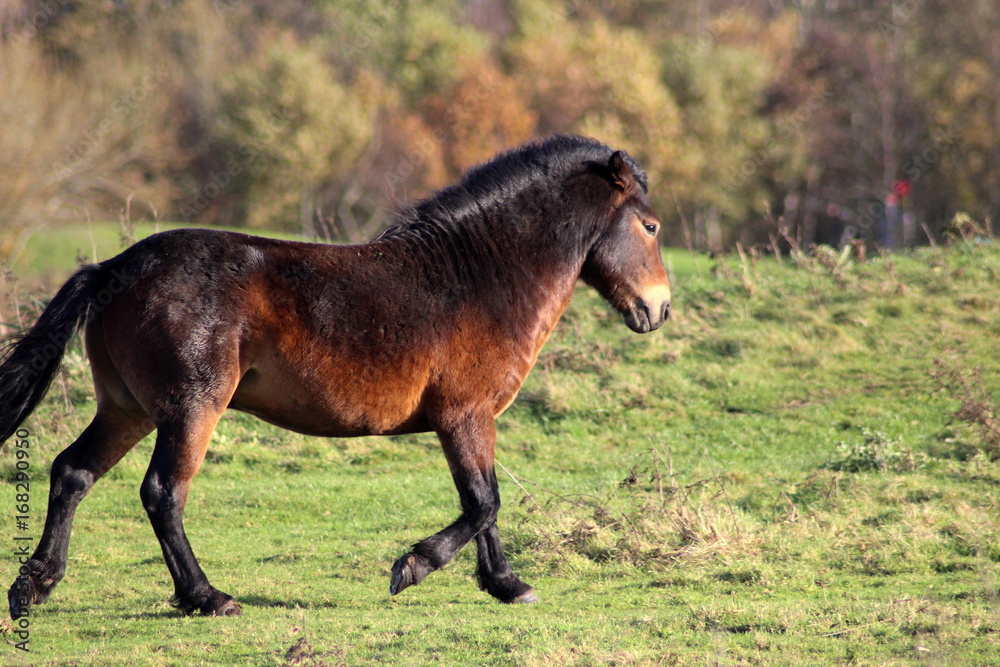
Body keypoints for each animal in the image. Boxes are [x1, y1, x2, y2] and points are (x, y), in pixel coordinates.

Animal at [3, 137, 672, 620]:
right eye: (651, 227)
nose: (659, 309)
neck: (477, 278)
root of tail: (116, 268)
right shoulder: (464, 414)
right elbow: (484, 502)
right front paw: (414, 566)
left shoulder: (470, 419)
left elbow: (483, 502)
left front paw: (506, 584)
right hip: (189, 411)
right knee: (163, 493)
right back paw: (207, 598)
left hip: (128, 408)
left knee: (73, 472)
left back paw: (33, 586)